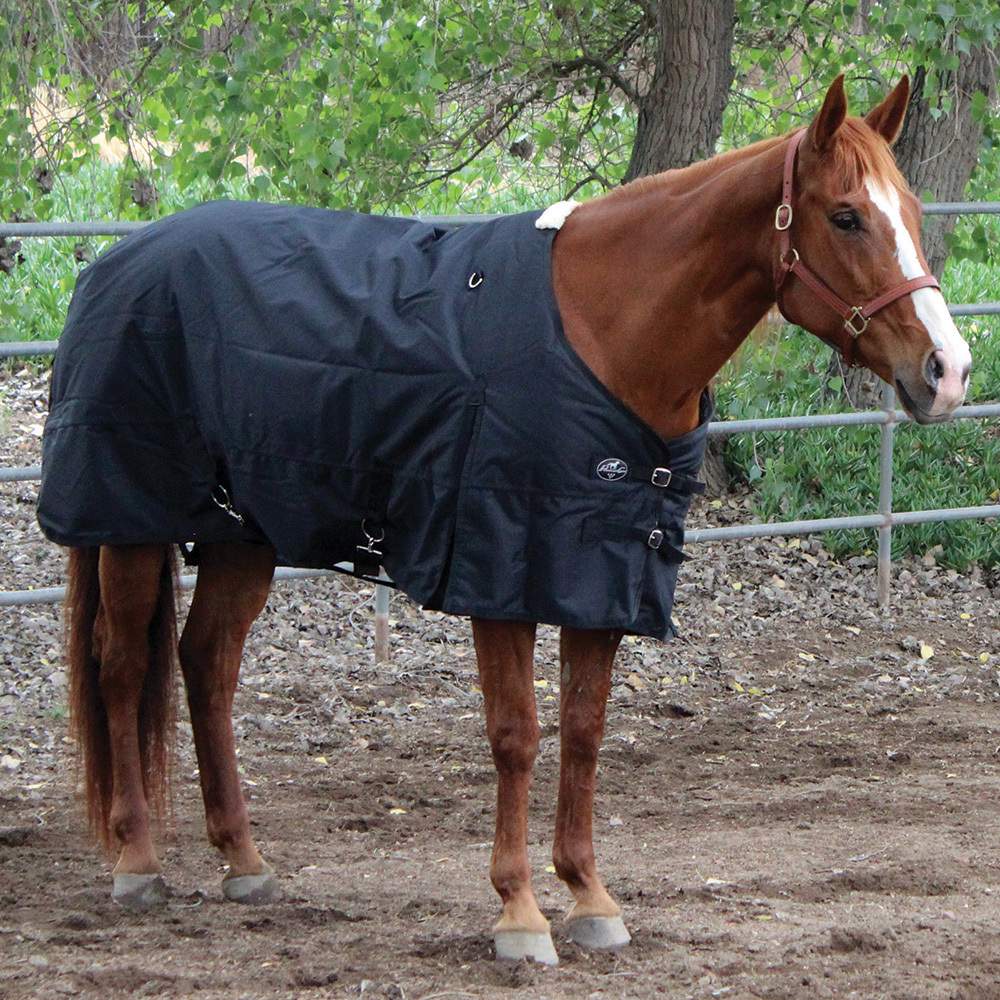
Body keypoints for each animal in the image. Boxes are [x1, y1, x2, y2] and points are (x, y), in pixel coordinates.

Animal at [45, 75, 971, 966]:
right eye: (846, 215)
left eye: (912, 210)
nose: (950, 371)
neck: (604, 335)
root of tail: (115, 261)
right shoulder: (499, 574)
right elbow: (518, 735)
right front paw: (520, 914)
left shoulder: (602, 577)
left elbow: (586, 732)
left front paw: (591, 899)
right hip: (128, 523)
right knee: (124, 665)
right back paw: (137, 862)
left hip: (244, 535)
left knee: (207, 665)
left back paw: (243, 860)